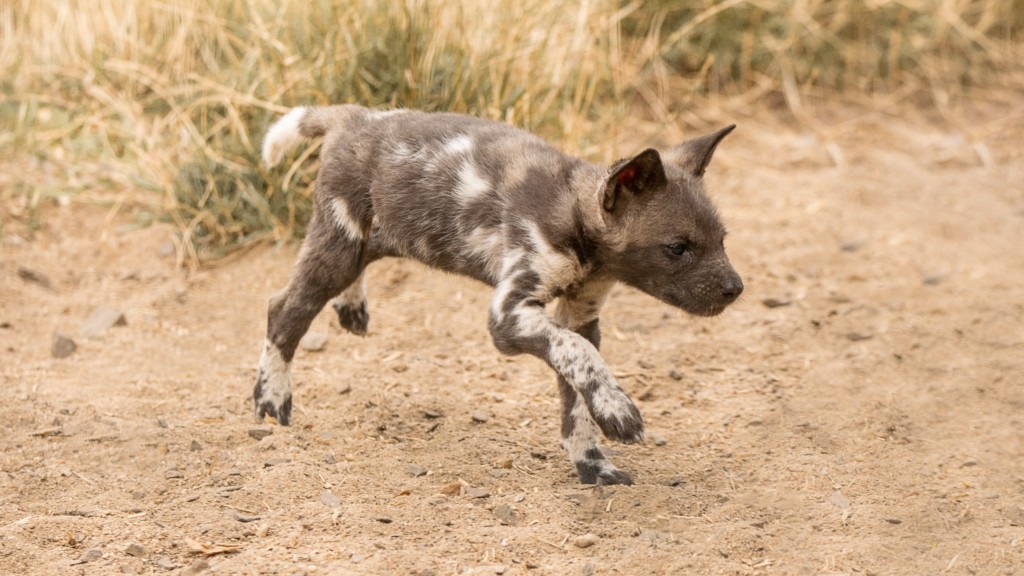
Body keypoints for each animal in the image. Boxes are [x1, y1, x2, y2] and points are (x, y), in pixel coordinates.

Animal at [251, 104, 741, 483]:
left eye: (722, 240)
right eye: (678, 248)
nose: (736, 289)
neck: (576, 217)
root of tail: (354, 116)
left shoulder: (577, 317)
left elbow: (577, 391)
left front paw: (592, 463)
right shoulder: (510, 316)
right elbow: (582, 357)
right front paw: (617, 410)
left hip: (367, 243)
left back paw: (350, 305)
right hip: (339, 245)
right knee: (283, 309)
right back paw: (272, 400)